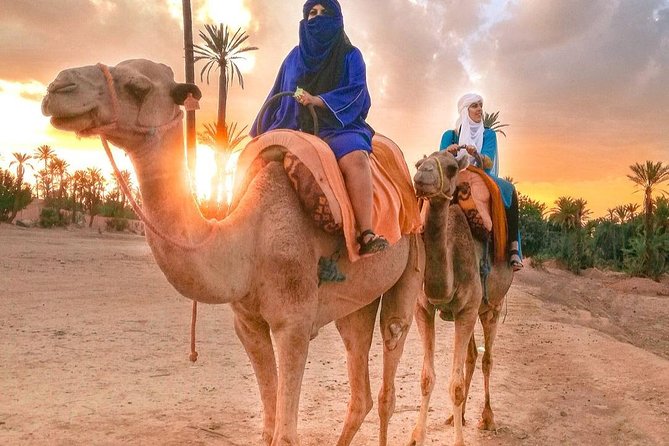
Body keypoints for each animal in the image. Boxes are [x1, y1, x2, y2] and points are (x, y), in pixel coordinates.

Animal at [41, 59, 426, 446]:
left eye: (138, 86)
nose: (57, 88)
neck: (249, 239)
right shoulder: (247, 323)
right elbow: (268, 427)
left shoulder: (293, 324)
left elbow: (285, 434)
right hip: (357, 301)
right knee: (359, 387)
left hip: (412, 259)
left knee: (389, 365)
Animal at [408, 151, 512, 446]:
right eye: (418, 163)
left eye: (452, 168)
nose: (422, 176)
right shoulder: (423, 308)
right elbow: (426, 378)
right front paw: (417, 436)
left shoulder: (467, 310)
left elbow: (454, 384)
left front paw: (459, 440)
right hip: (472, 311)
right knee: (472, 357)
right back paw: (458, 416)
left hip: (491, 307)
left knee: (487, 358)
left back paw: (487, 418)